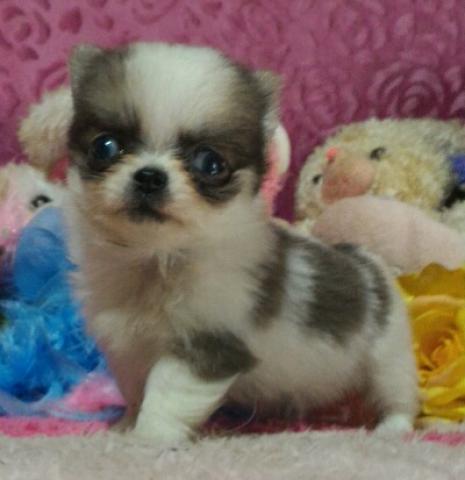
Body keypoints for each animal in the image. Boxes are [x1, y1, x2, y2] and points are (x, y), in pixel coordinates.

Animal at [64, 41, 418, 444]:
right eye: (105, 146)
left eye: (210, 163)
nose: (150, 176)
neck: (157, 260)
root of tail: (364, 262)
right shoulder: (128, 350)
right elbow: (137, 390)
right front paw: (125, 426)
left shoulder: (210, 347)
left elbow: (165, 393)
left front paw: (150, 437)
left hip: (388, 355)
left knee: (396, 393)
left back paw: (392, 427)